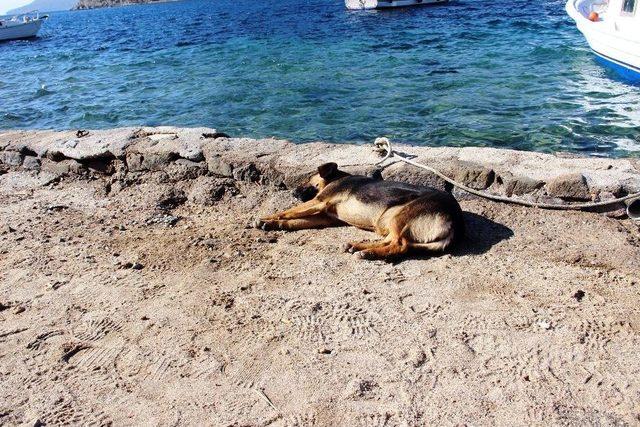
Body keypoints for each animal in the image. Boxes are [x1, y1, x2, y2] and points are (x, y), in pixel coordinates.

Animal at [254, 162, 464, 260]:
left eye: (307, 180)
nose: (293, 191)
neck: (336, 178)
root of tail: (455, 221)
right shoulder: (325, 216)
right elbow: (293, 220)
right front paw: (273, 224)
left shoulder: (320, 201)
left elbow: (287, 211)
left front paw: (266, 219)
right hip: (387, 221)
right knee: (391, 241)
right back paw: (358, 246)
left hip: (399, 216)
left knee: (400, 245)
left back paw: (368, 253)